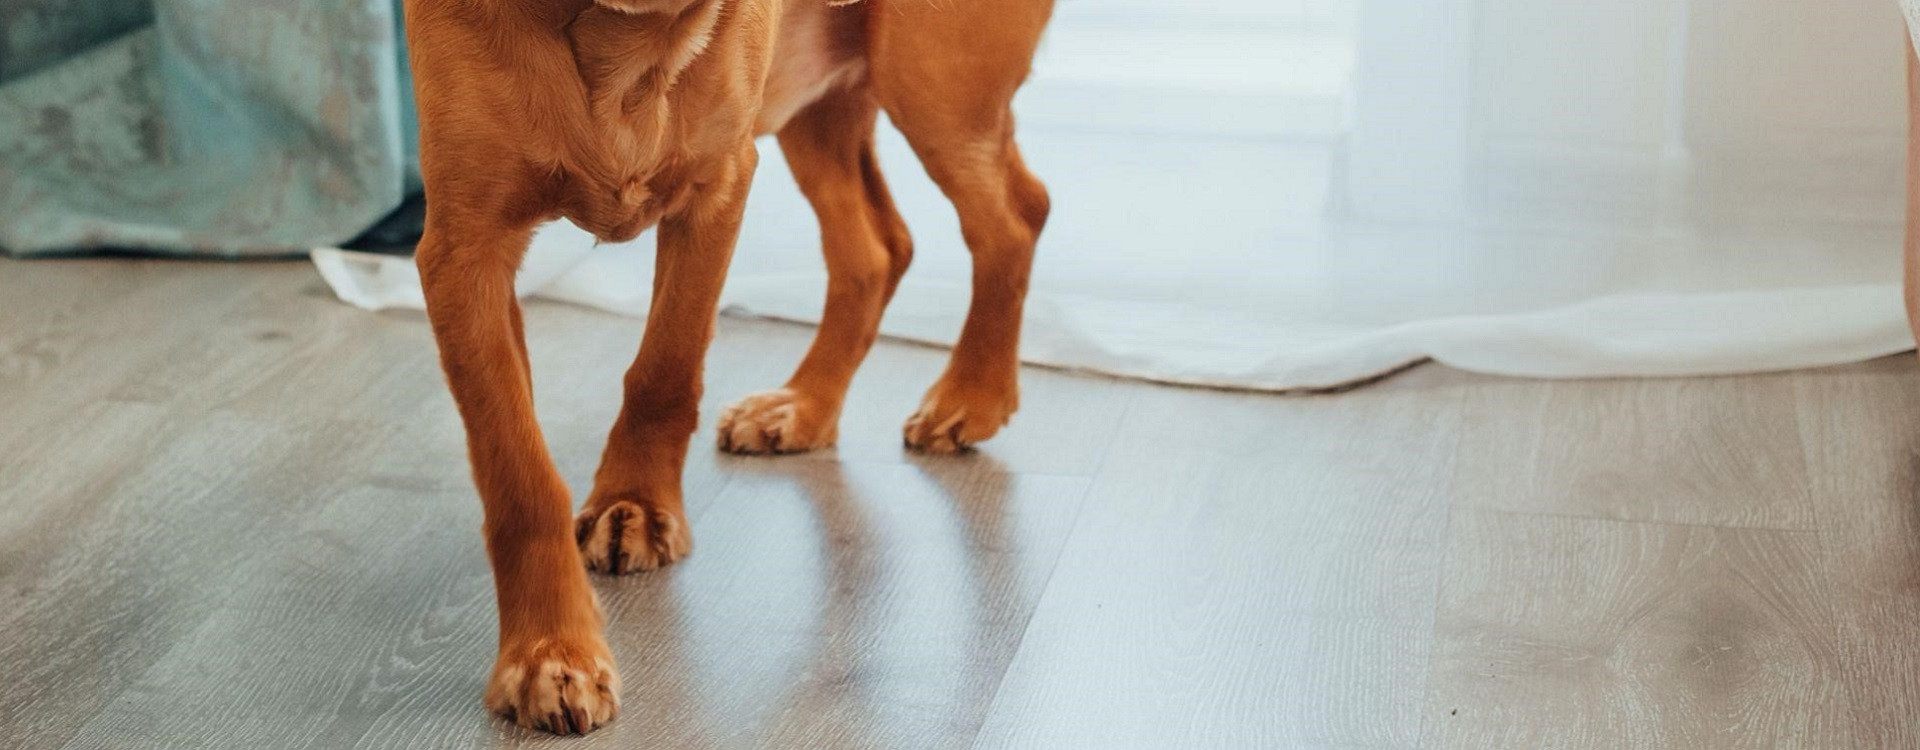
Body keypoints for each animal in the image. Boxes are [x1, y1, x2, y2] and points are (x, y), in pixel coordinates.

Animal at [401, 0, 1052, 732]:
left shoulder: (716, 185)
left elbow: (664, 370)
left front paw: (635, 506)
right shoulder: (465, 249)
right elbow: (518, 472)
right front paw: (550, 651)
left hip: (937, 88)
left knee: (1014, 216)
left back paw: (971, 396)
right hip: (824, 104)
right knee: (880, 249)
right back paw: (806, 407)